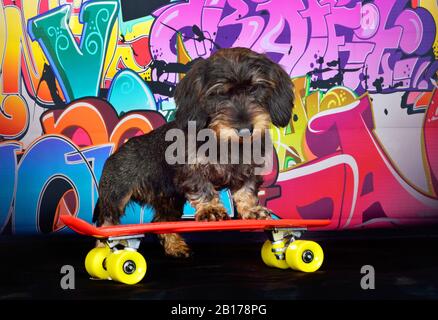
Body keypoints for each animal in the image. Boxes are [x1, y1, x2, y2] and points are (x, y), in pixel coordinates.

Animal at [94, 48, 296, 258]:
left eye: (255, 89)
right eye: (219, 93)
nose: (245, 130)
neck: (224, 142)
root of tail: (115, 154)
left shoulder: (248, 172)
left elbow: (245, 192)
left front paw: (252, 211)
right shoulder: (192, 171)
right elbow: (204, 189)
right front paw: (211, 208)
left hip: (170, 200)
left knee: (162, 221)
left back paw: (175, 246)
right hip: (115, 196)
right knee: (106, 225)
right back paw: (101, 250)